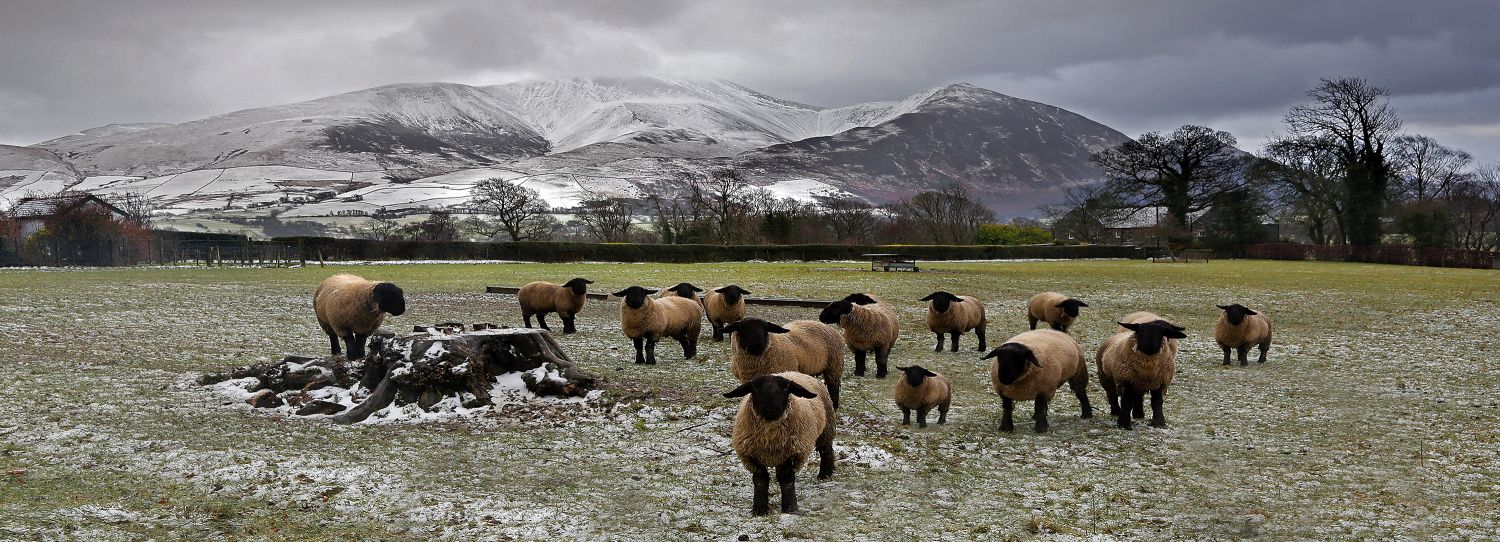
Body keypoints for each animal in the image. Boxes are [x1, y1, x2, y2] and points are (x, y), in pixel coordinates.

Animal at [720, 369, 840, 513]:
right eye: (755, 388)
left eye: (786, 388)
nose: (772, 409)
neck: (771, 438)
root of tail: (791, 372)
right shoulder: (751, 456)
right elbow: (761, 480)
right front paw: (759, 509)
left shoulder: (793, 454)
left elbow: (786, 480)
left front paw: (790, 507)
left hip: (826, 429)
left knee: (826, 450)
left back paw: (825, 474)